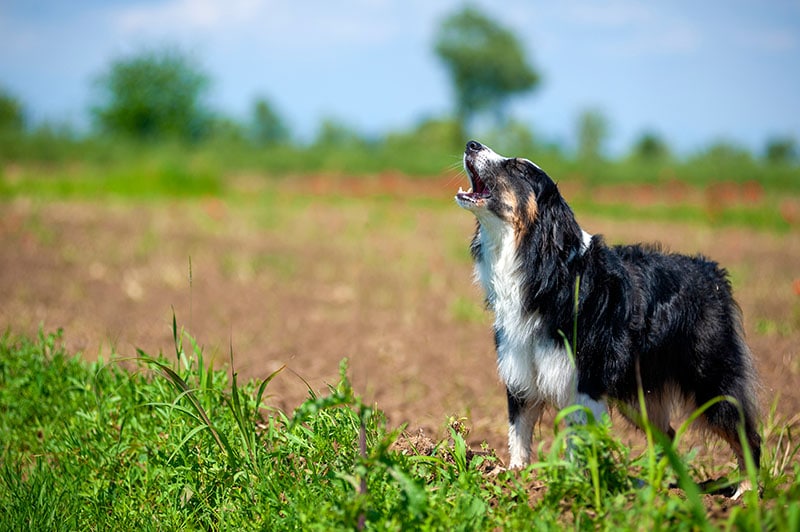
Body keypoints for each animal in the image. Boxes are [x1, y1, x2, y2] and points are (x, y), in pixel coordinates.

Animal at [456, 139, 764, 496]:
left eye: (518, 167)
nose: (471, 144)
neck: (541, 264)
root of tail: (711, 272)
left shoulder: (585, 379)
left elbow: (579, 442)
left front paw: (575, 485)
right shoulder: (521, 372)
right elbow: (519, 432)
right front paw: (514, 477)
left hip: (709, 377)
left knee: (746, 433)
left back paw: (745, 493)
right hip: (639, 393)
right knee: (669, 434)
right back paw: (653, 485)